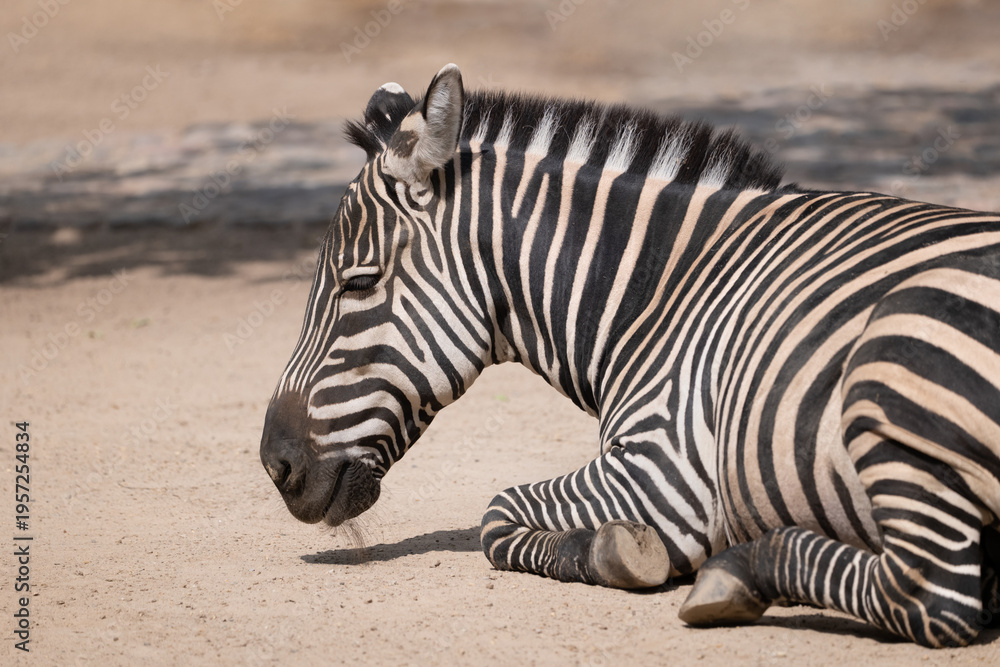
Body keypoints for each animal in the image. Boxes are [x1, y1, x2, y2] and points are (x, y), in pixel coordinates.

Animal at [259, 64, 1000, 647]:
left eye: (359, 283)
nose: (275, 464)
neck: (662, 291)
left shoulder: (662, 468)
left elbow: (495, 514)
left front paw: (619, 550)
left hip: (895, 360)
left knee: (926, 595)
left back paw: (736, 573)